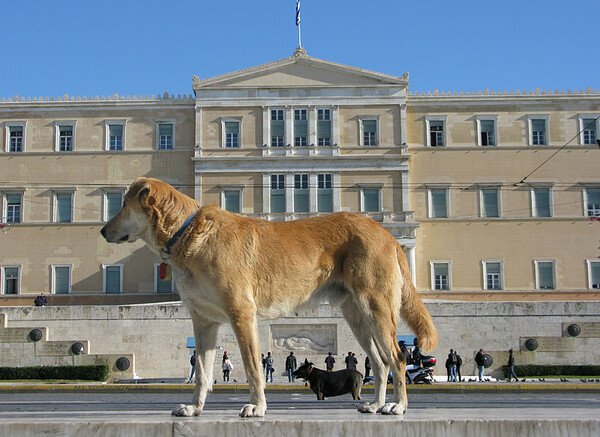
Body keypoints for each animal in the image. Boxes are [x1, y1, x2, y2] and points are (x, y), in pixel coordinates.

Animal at [99, 176, 436, 416]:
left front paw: (257, 407)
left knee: (398, 358)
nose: (102, 231)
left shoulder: (242, 316)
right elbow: (203, 374)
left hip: (377, 310)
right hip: (358, 317)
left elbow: (252, 369)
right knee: (380, 363)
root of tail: (385, 232)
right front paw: (195, 408)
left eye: (124, 205)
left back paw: (397, 406)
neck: (188, 233)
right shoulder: (204, 323)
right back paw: (376, 404)